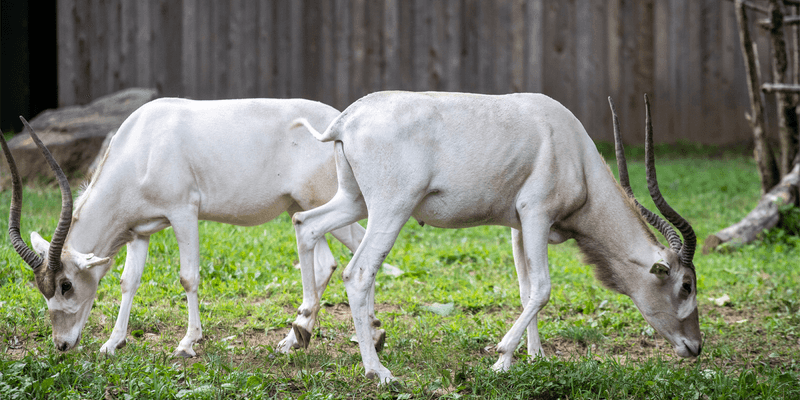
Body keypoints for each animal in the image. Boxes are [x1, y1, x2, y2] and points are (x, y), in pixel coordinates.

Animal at [1, 98, 366, 358]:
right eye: (43, 290)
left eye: (65, 285)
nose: (62, 344)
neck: (142, 148)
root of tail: (342, 122)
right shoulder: (139, 232)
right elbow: (128, 281)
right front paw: (112, 343)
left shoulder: (184, 213)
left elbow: (188, 277)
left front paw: (187, 343)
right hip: (300, 207)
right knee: (325, 263)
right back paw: (296, 339)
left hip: (333, 203)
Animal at [292, 92, 700, 382]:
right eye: (686, 285)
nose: (694, 346)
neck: (575, 154)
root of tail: (346, 121)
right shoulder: (536, 214)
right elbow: (543, 288)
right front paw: (502, 359)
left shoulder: (519, 226)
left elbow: (526, 289)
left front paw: (535, 357)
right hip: (391, 207)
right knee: (358, 272)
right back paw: (378, 371)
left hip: (353, 200)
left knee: (305, 223)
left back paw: (299, 332)